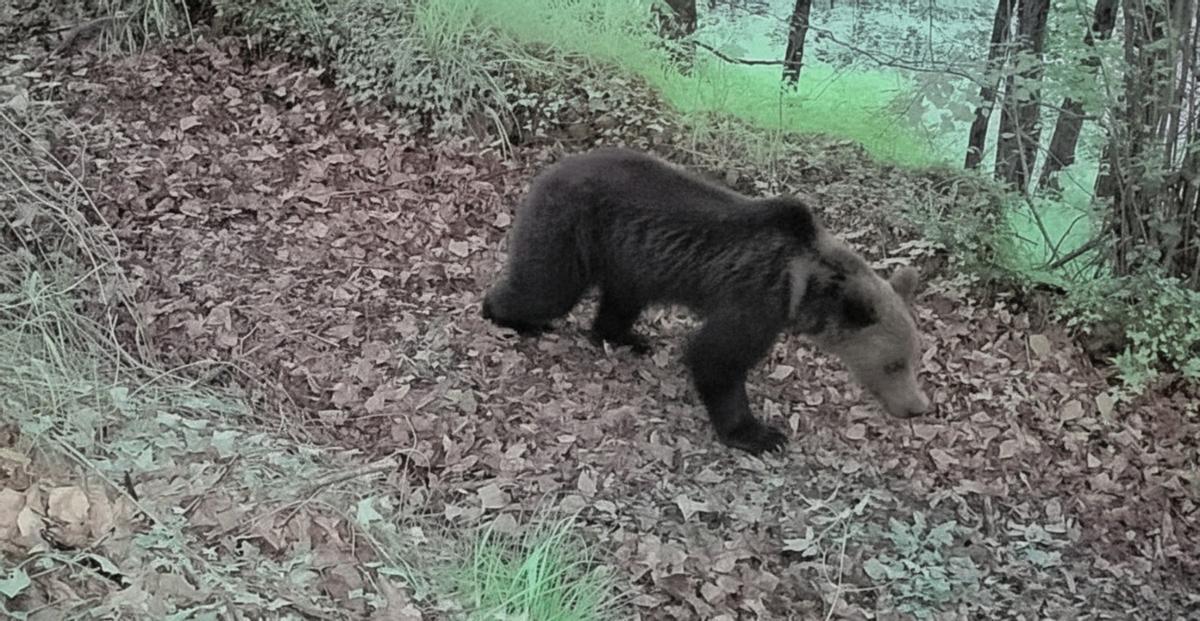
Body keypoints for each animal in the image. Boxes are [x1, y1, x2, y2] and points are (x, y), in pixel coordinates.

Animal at [482, 147, 932, 454]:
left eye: (913, 359)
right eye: (893, 364)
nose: (917, 408)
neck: (804, 288)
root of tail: (552, 168)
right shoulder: (756, 299)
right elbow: (716, 357)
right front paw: (759, 433)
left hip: (630, 257)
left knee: (621, 300)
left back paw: (628, 337)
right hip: (573, 229)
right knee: (544, 287)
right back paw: (513, 316)